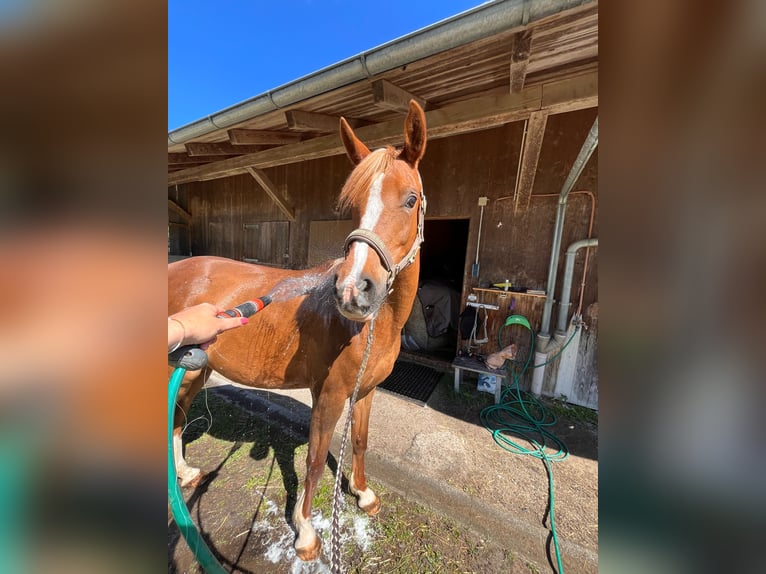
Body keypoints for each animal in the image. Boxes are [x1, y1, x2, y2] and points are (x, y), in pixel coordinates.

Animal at [170, 101, 426, 564]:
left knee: (177, 416)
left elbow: (359, 442)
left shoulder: (365, 392)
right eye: (352, 205)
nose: (353, 290)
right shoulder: (328, 395)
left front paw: (363, 494)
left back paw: (184, 474)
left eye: (410, 199)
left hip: (195, 367)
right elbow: (314, 459)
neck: (370, 327)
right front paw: (306, 532)